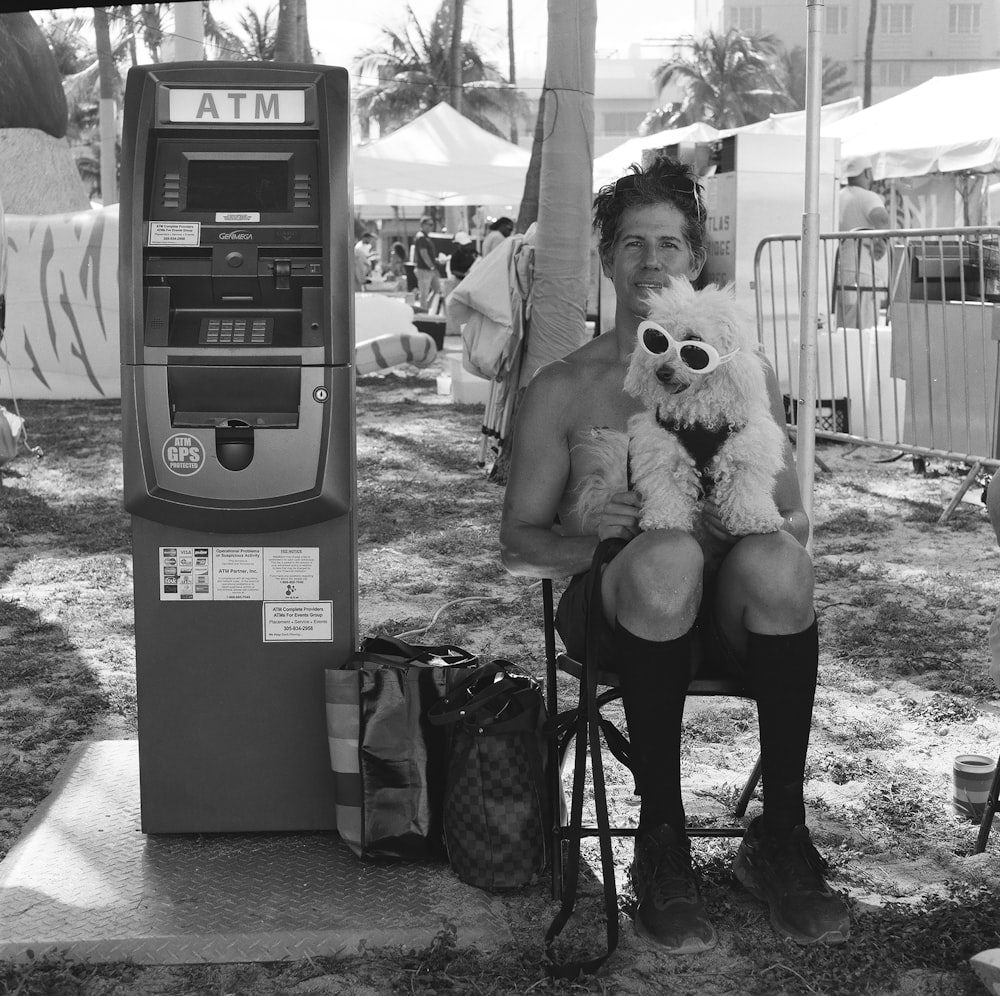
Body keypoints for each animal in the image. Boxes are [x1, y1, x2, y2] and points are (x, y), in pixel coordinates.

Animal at [580, 276, 788, 540]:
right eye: (656, 341)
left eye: (693, 345)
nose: (662, 372)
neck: (696, 413)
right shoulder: (662, 456)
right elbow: (666, 492)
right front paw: (664, 520)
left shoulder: (744, 457)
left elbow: (746, 491)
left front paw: (756, 520)